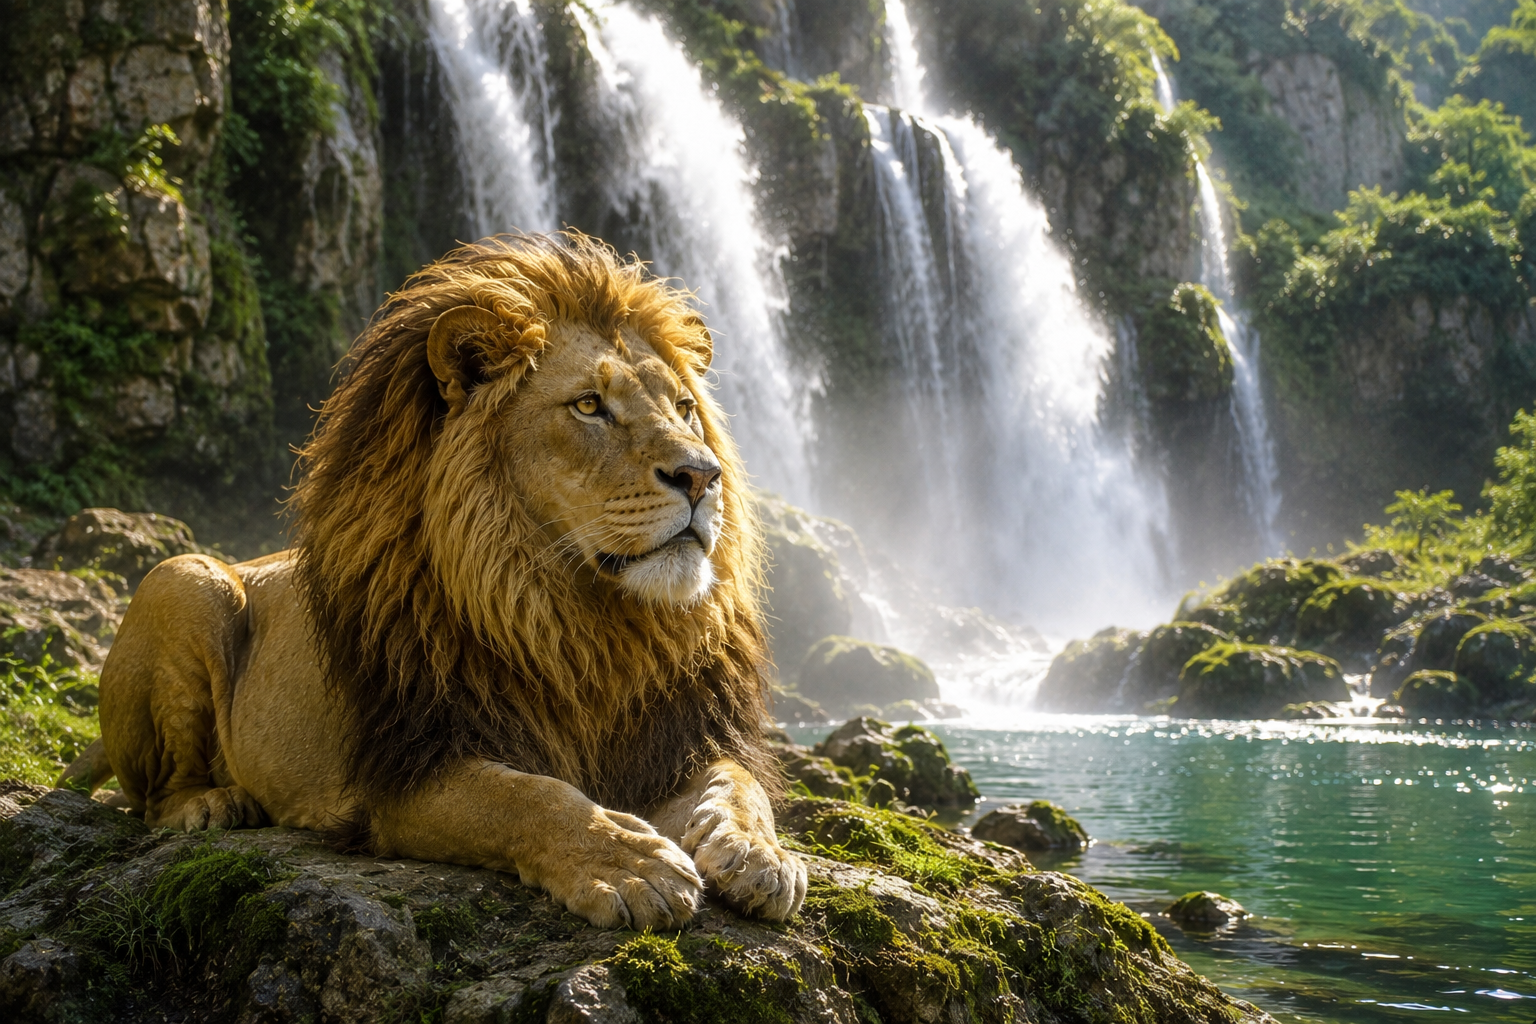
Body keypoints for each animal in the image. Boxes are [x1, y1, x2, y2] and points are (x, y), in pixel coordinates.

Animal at [64, 232, 807, 929]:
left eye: (683, 407)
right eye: (590, 405)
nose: (703, 476)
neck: (582, 623)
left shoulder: (673, 739)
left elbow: (738, 780)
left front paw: (760, 852)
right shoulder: (405, 773)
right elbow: (527, 797)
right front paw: (628, 863)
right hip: (182, 578)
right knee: (152, 798)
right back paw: (214, 803)